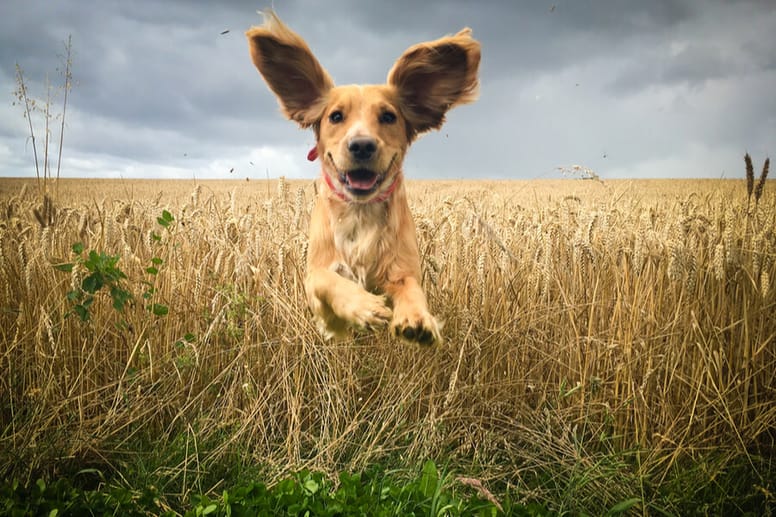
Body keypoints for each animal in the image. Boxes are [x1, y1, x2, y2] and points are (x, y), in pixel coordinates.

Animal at [247, 11, 478, 342]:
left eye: (389, 116)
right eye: (335, 116)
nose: (362, 145)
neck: (360, 212)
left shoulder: (403, 268)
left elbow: (412, 290)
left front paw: (417, 319)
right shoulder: (314, 277)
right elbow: (329, 281)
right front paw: (364, 307)